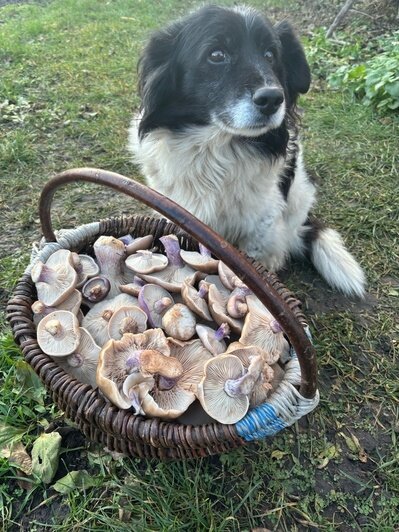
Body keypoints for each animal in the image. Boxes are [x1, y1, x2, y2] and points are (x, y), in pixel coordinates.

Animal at [130, 4, 368, 298]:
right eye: (216, 55)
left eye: (270, 54)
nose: (273, 99)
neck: (216, 152)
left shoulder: (261, 224)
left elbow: (253, 266)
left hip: (299, 194)